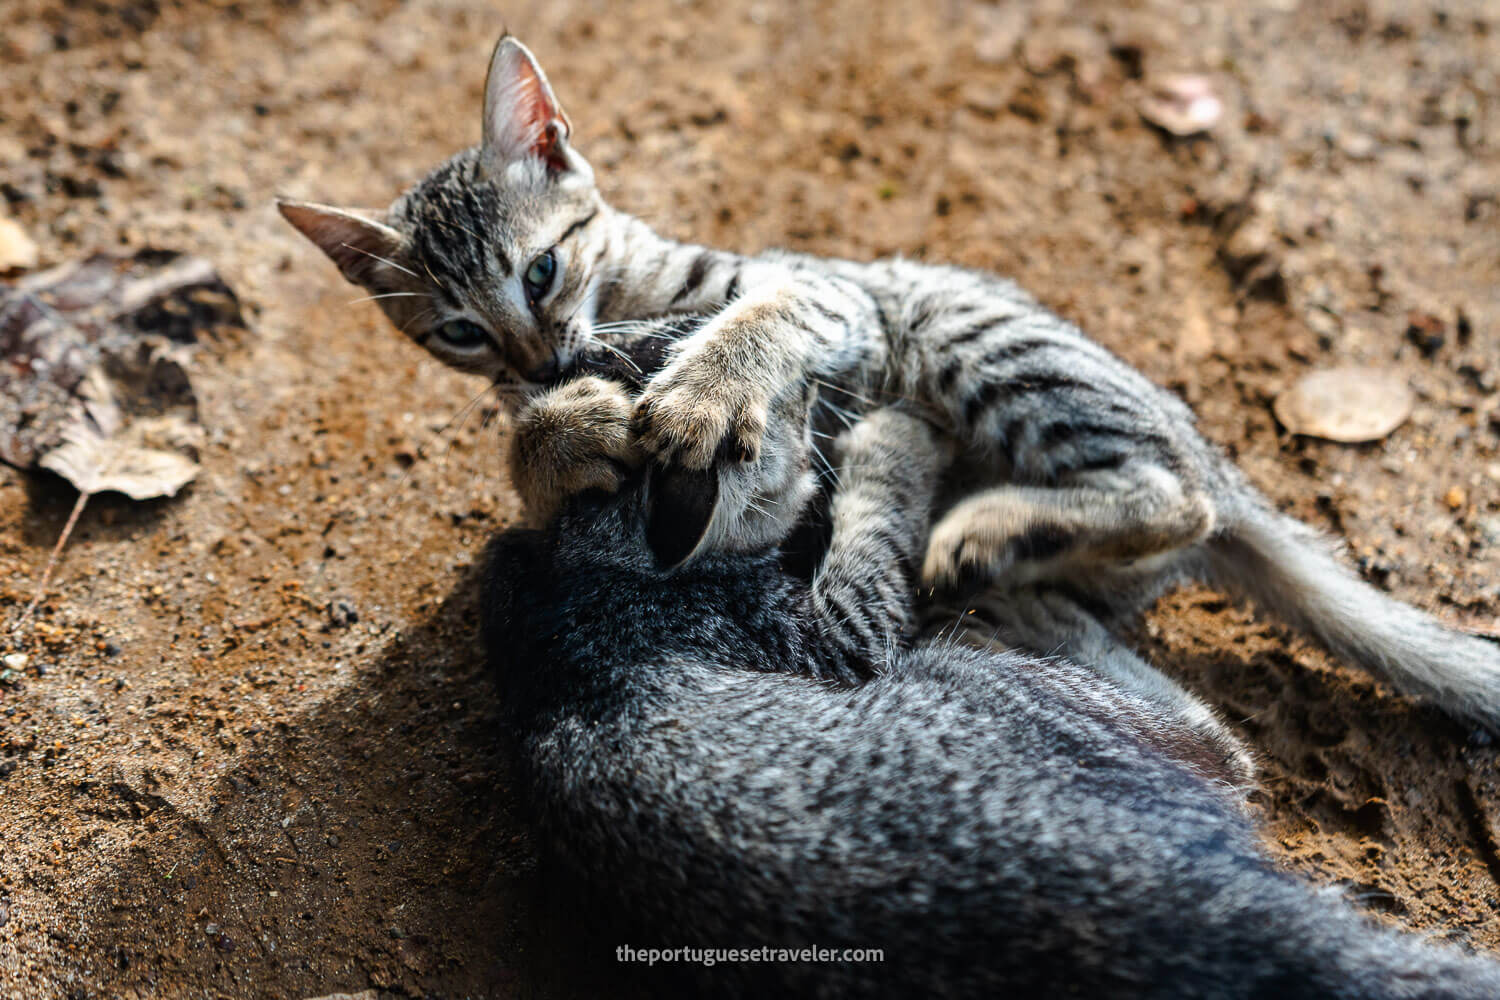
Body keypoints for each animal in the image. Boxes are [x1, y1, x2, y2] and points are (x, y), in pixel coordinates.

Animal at [279, 35, 1500, 731]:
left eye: (540, 269)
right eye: (458, 333)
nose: (536, 358)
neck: (617, 298)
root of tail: (1219, 459)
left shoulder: (829, 297)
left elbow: (753, 323)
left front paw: (698, 389)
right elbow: (531, 455)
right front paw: (563, 422)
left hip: (972, 335)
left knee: (1173, 496)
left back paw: (987, 525)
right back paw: (1001, 561)